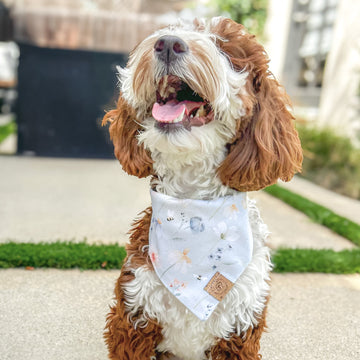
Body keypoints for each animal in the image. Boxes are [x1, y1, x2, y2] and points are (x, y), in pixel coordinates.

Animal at [102, 16, 302, 360]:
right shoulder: (133, 318)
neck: (193, 205)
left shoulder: (240, 331)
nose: (168, 44)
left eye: (225, 48)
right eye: (169, 30)